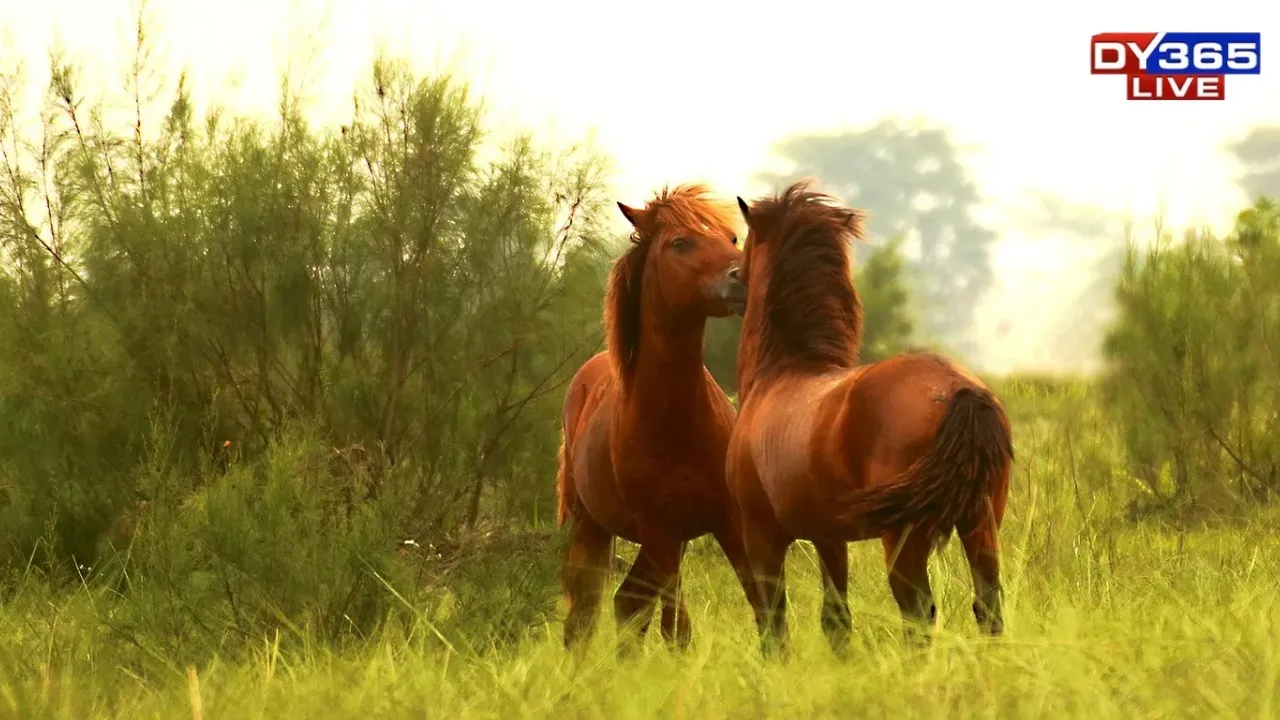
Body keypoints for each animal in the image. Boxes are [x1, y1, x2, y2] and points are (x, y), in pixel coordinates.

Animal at [555, 184, 758, 655]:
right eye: (679, 243)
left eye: (731, 237)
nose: (744, 277)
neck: (676, 422)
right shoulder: (662, 531)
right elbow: (678, 629)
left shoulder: (727, 522)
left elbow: (764, 602)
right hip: (591, 527)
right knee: (585, 619)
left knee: (628, 603)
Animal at [721, 180, 1014, 656]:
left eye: (746, 241)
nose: (730, 279)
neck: (781, 374)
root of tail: (959, 388)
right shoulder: (829, 537)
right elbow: (836, 619)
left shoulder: (761, 534)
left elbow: (773, 622)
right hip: (981, 524)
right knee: (988, 606)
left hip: (905, 539)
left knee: (918, 615)